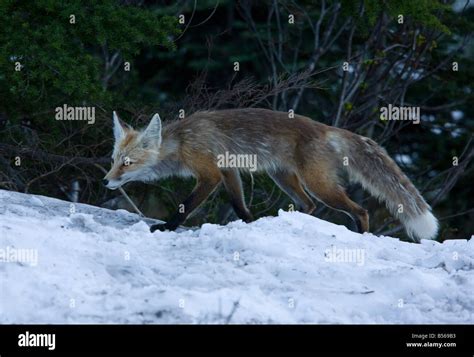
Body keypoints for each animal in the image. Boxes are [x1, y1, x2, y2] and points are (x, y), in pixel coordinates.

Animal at [105, 108, 438, 241]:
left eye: (127, 163)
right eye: (114, 160)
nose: (106, 181)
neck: (183, 141)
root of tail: (328, 128)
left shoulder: (210, 174)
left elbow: (185, 206)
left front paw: (166, 227)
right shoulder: (229, 171)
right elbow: (239, 205)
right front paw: (249, 224)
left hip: (320, 185)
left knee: (361, 210)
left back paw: (362, 236)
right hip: (287, 180)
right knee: (310, 206)